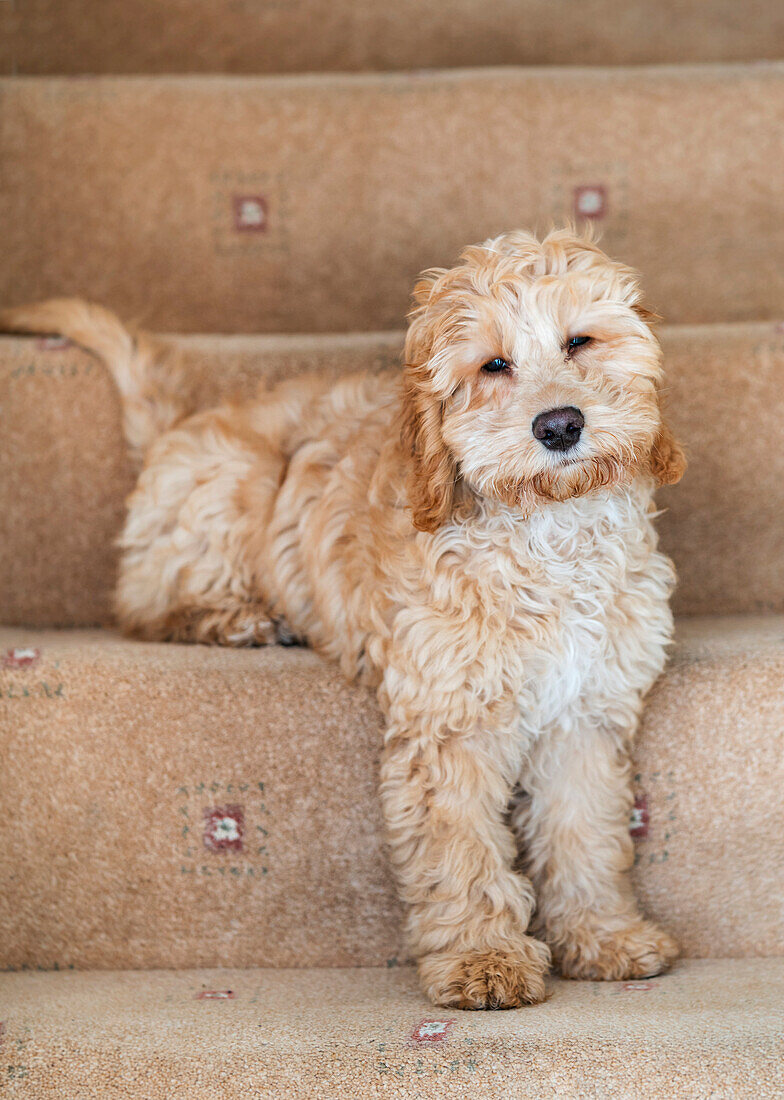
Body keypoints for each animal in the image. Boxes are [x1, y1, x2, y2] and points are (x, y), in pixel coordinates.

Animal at [0, 227, 686, 1007]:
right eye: (493, 364)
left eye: (580, 341)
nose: (561, 425)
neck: (548, 534)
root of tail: (180, 425)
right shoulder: (446, 724)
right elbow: (461, 848)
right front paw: (483, 959)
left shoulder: (585, 714)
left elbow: (585, 833)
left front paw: (604, 936)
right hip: (234, 480)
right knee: (142, 602)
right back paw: (233, 618)